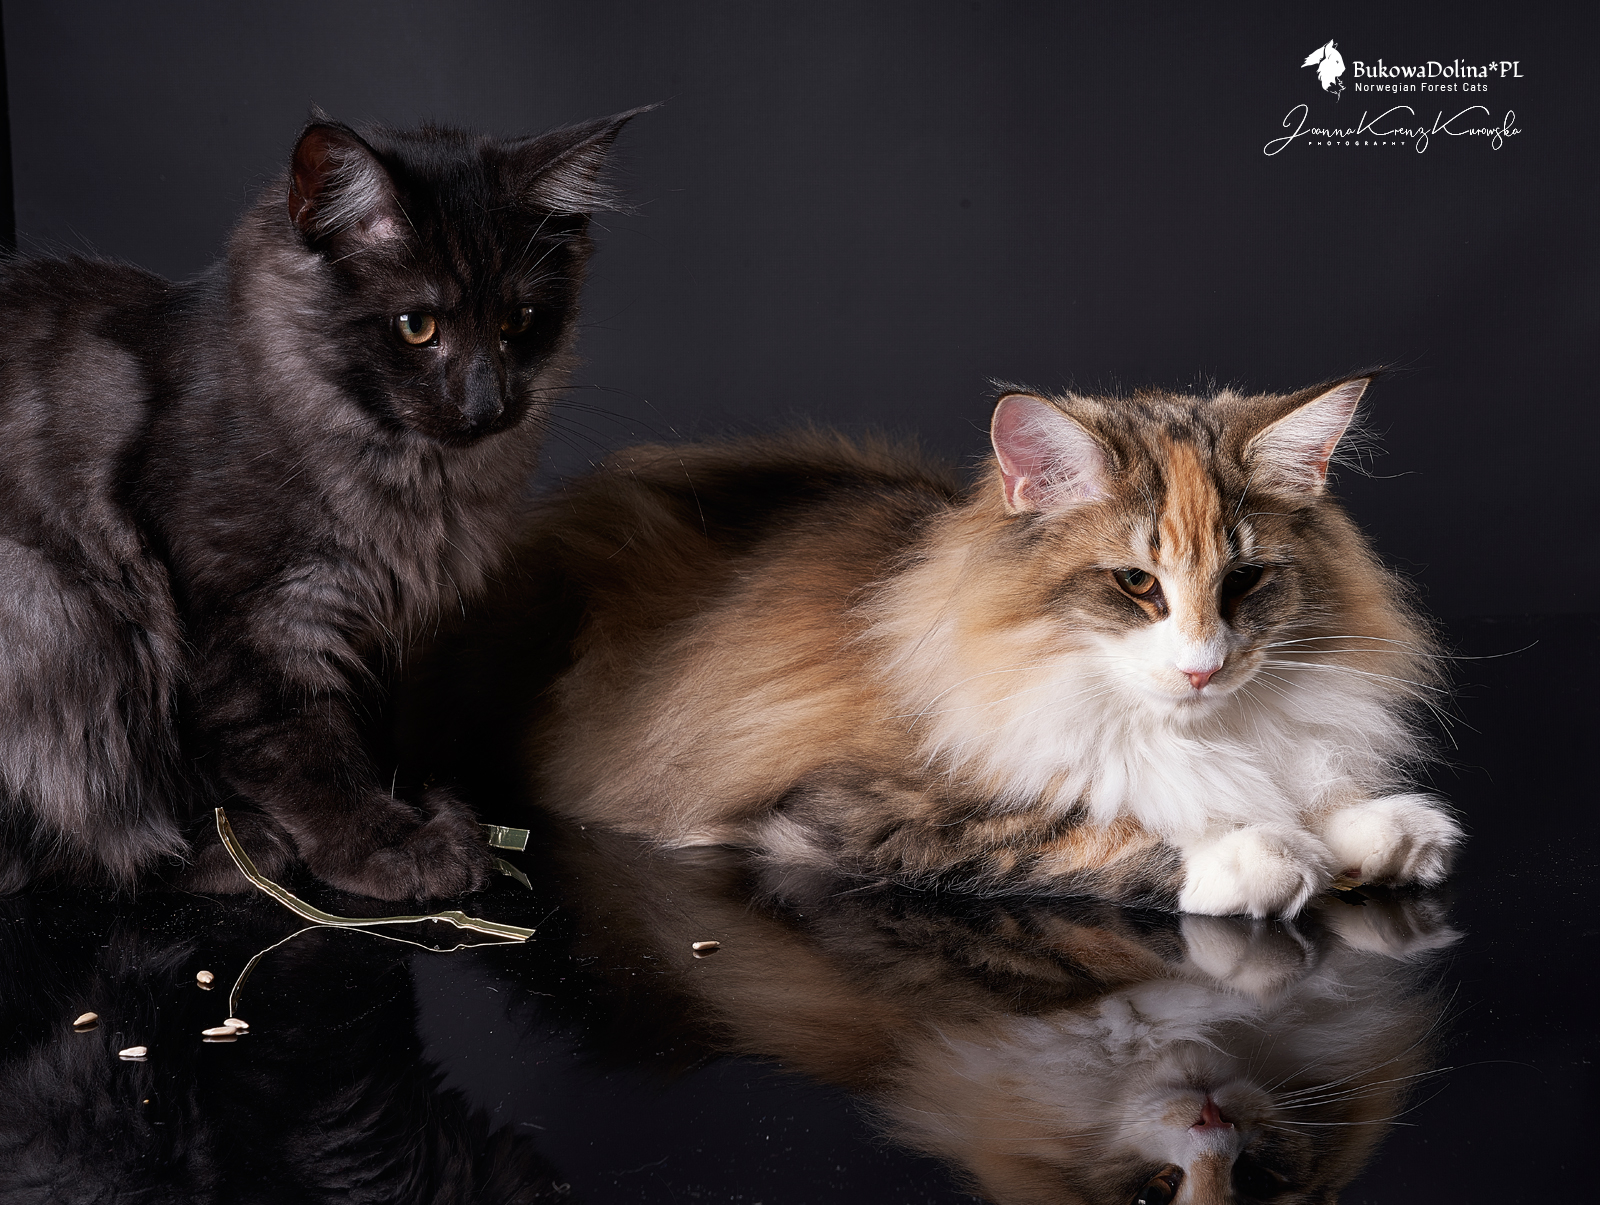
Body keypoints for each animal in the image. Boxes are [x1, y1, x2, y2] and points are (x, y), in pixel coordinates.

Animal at [0, 107, 644, 899]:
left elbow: (362, 735)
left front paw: (423, 809)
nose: (485, 404)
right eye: (416, 327)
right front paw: (388, 847)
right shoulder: (258, 618)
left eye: (518, 322)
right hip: (52, 606)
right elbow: (300, 748)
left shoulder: (368, 628)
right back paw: (231, 851)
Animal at [421, 375, 1462, 916]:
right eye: (1137, 585)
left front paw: (1380, 830)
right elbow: (1094, 825)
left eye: (1244, 582)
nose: (1202, 667)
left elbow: (1314, 791)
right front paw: (1264, 854)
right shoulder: (853, 812)